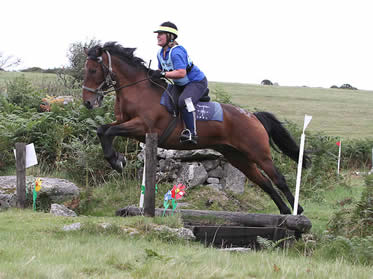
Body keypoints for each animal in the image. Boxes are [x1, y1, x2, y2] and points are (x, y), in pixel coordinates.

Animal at [83, 42, 310, 217]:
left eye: (93, 70)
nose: (87, 102)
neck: (137, 90)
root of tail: (252, 116)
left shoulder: (142, 126)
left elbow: (107, 131)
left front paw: (117, 160)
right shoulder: (126, 124)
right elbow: (103, 130)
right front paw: (117, 160)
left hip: (258, 152)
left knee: (278, 179)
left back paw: (296, 210)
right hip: (237, 156)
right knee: (264, 182)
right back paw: (283, 211)